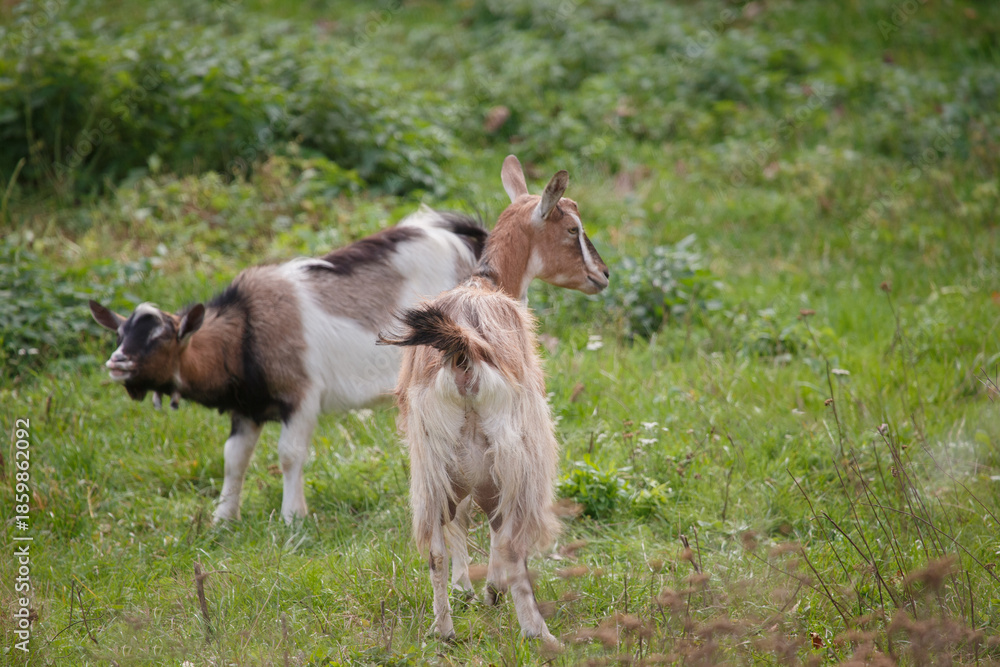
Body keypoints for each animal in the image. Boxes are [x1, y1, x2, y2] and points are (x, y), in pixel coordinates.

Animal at [89, 207, 487, 524]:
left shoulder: (301, 395)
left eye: (159, 337)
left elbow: (289, 454)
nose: (117, 362)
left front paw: (293, 517)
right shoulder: (246, 407)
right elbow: (233, 457)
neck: (245, 332)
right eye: (120, 332)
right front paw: (223, 518)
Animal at [379, 155, 609, 643]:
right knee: (511, 540)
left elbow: (459, 523)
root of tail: (463, 348)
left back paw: (444, 629)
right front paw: (488, 591)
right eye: (572, 228)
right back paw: (537, 630)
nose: (602, 275)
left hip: (431, 460)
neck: (490, 284)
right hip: (513, 449)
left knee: (437, 544)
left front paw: (467, 588)